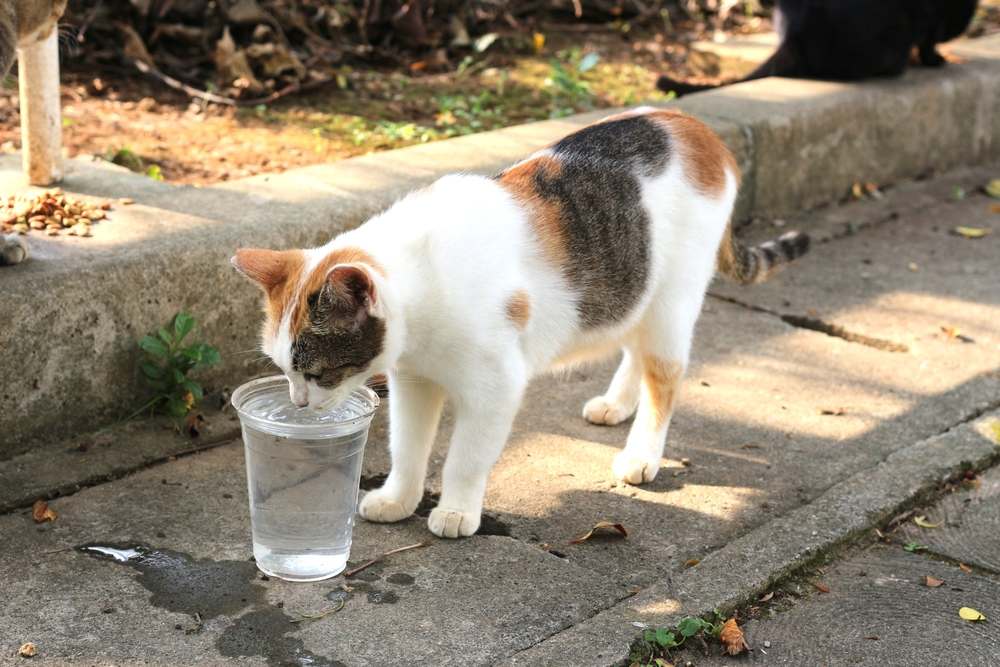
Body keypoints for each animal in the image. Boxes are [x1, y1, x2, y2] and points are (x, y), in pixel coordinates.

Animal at [236, 108, 812, 536]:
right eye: (284, 371)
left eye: (317, 372)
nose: (297, 404)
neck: (426, 279)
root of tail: (699, 130)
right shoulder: (415, 381)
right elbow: (407, 445)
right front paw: (399, 498)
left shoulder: (496, 386)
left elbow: (467, 456)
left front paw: (456, 511)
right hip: (631, 284)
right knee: (634, 346)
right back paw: (616, 404)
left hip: (673, 300)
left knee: (663, 378)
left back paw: (641, 454)